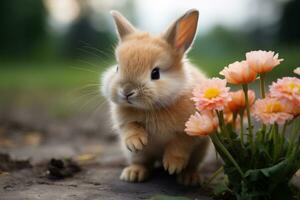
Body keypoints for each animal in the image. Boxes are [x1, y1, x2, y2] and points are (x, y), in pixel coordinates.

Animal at [101, 9, 209, 184]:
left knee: (192, 165)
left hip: (199, 154)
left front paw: (173, 165)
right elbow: (130, 128)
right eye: (117, 68)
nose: (127, 91)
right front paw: (136, 143)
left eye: (155, 73)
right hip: (137, 157)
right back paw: (133, 174)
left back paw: (189, 178)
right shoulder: (124, 122)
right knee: (142, 163)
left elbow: (179, 145)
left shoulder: (189, 131)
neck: (152, 109)